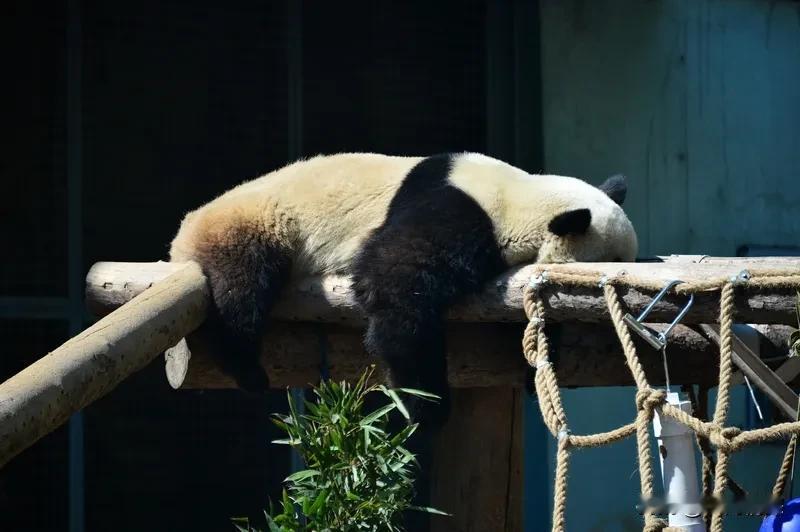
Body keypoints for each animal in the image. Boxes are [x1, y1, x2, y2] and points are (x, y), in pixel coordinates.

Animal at [170, 151, 636, 424]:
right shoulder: (455, 210)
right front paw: (426, 404)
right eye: (610, 262)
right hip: (256, 225)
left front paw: (536, 363)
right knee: (241, 289)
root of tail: (184, 233)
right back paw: (247, 368)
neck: (523, 197)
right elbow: (396, 282)